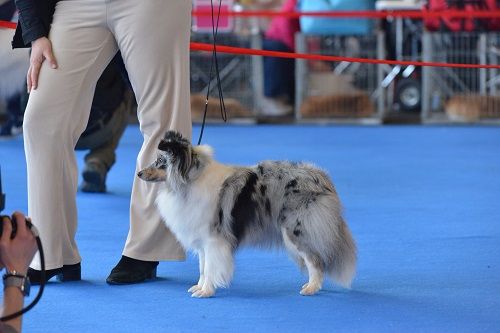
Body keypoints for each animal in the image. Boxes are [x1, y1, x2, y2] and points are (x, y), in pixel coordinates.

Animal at [137, 131, 356, 296]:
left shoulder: (213, 239)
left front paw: (206, 291)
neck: (189, 181)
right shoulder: (202, 240)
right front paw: (199, 287)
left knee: (315, 261)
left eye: (160, 161)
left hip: (297, 230)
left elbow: (210, 267)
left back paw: (311, 288)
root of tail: (321, 177)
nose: (139, 173)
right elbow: (202, 267)